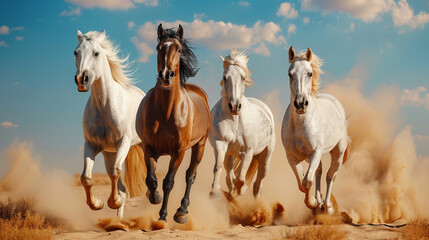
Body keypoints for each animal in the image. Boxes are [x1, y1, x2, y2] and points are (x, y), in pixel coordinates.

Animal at [74, 30, 147, 218]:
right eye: (76, 52)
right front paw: (97, 204)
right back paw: (118, 222)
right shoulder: (91, 145)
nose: (81, 80)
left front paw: (113, 202)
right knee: (122, 187)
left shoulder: (123, 142)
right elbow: (86, 177)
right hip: (109, 153)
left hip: (141, 146)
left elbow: (115, 172)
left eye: (96, 53)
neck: (104, 106)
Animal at [136, 23, 211, 223]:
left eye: (178, 49)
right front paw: (154, 197)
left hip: (199, 146)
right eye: (158, 48)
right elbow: (151, 179)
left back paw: (182, 211)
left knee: (190, 175)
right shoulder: (148, 147)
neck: (166, 112)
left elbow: (168, 181)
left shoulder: (179, 151)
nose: (166, 75)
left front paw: (163, 215)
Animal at [210, 48, 276, 199]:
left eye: (243, 77)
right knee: (230, 174)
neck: (236, 121)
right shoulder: (221, 143)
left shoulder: (248, 151)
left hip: (265, 158)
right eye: (225, 77)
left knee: (258, 183)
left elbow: (241, 178)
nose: (234, 106)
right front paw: (214, 192)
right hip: (230, 154)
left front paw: (240, 190)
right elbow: (219, 168)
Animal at [280, 46, 352, 214]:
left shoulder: (316, 152)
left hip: (337, 154)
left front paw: (312, 203)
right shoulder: (291, 156)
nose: (300, 104)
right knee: (319, 172)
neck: (299, 124)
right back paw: (320, 203)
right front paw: (313, 202)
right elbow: (302, 182)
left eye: (309, 73)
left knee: (330, 176)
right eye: (290, 73)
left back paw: (327, 206)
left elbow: (307, 181)